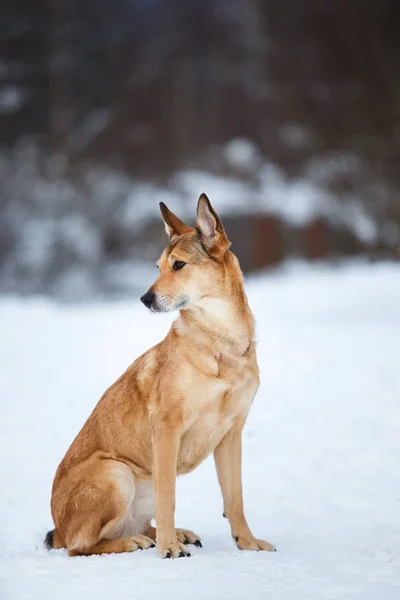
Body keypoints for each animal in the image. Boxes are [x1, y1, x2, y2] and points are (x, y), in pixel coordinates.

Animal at [44, 196, 276, 556]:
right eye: (158, 267)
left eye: (178, 265)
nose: (145, 299)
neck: (220, 342)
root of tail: (58, 529)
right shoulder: (167, 429)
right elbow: (169, 499)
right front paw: (169, 550)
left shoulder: (231, 434)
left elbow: (234, 498)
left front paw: (248, 542)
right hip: (117, 472)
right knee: (82, 546)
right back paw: (138, 542)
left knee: (133, 524)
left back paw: (175, 534)